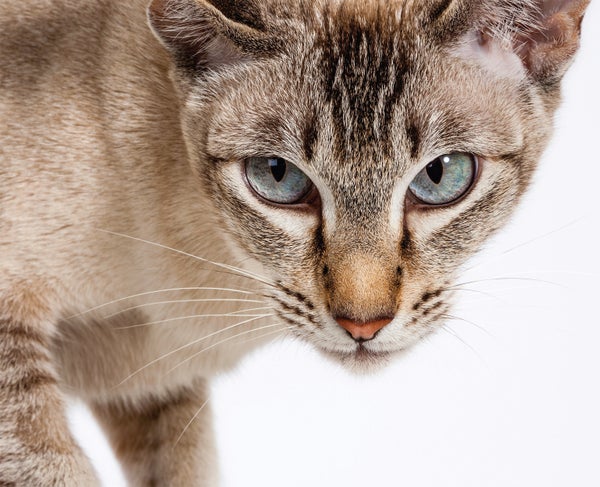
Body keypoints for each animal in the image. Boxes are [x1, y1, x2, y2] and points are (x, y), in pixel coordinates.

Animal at [0, 0, 592, 486]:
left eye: (442, 176)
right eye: (277, 176)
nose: (363, 326)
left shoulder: (155, 389)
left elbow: (189, 469)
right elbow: (54, 468)